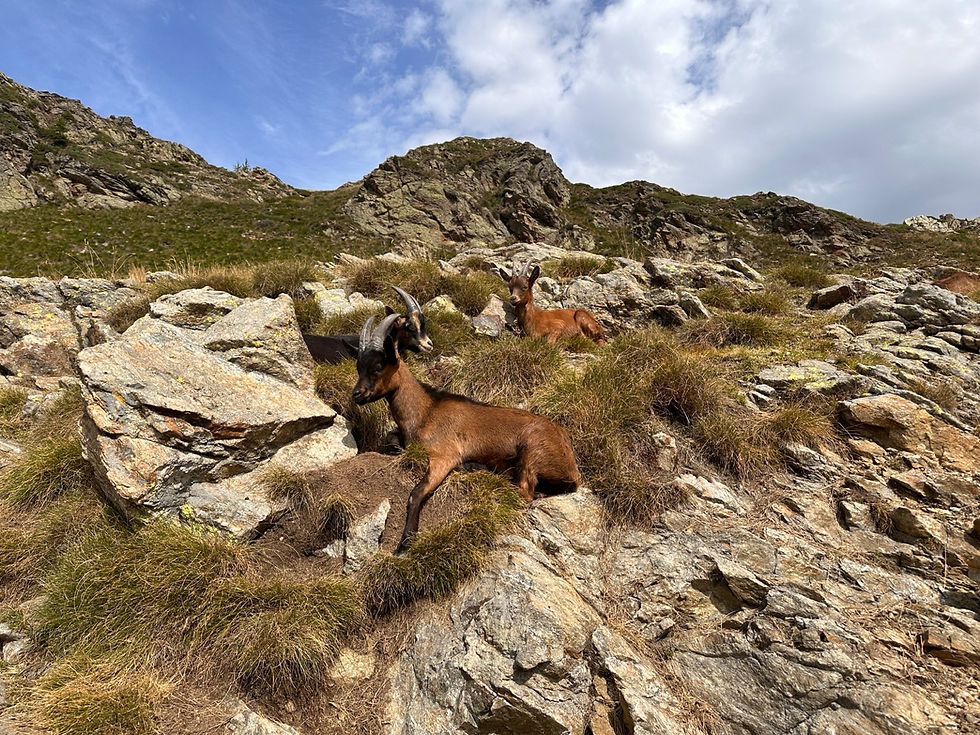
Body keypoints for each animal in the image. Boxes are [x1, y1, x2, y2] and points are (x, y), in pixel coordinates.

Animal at [352, 314, 580, 551]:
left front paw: (406, 542)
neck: (426, 410)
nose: (356, 394)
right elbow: (392, 439)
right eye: (359, 366)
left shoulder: (444, 456)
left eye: (379, 365)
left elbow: (416, 493)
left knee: (523, 490)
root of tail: (572, 466)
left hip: (532, 445)